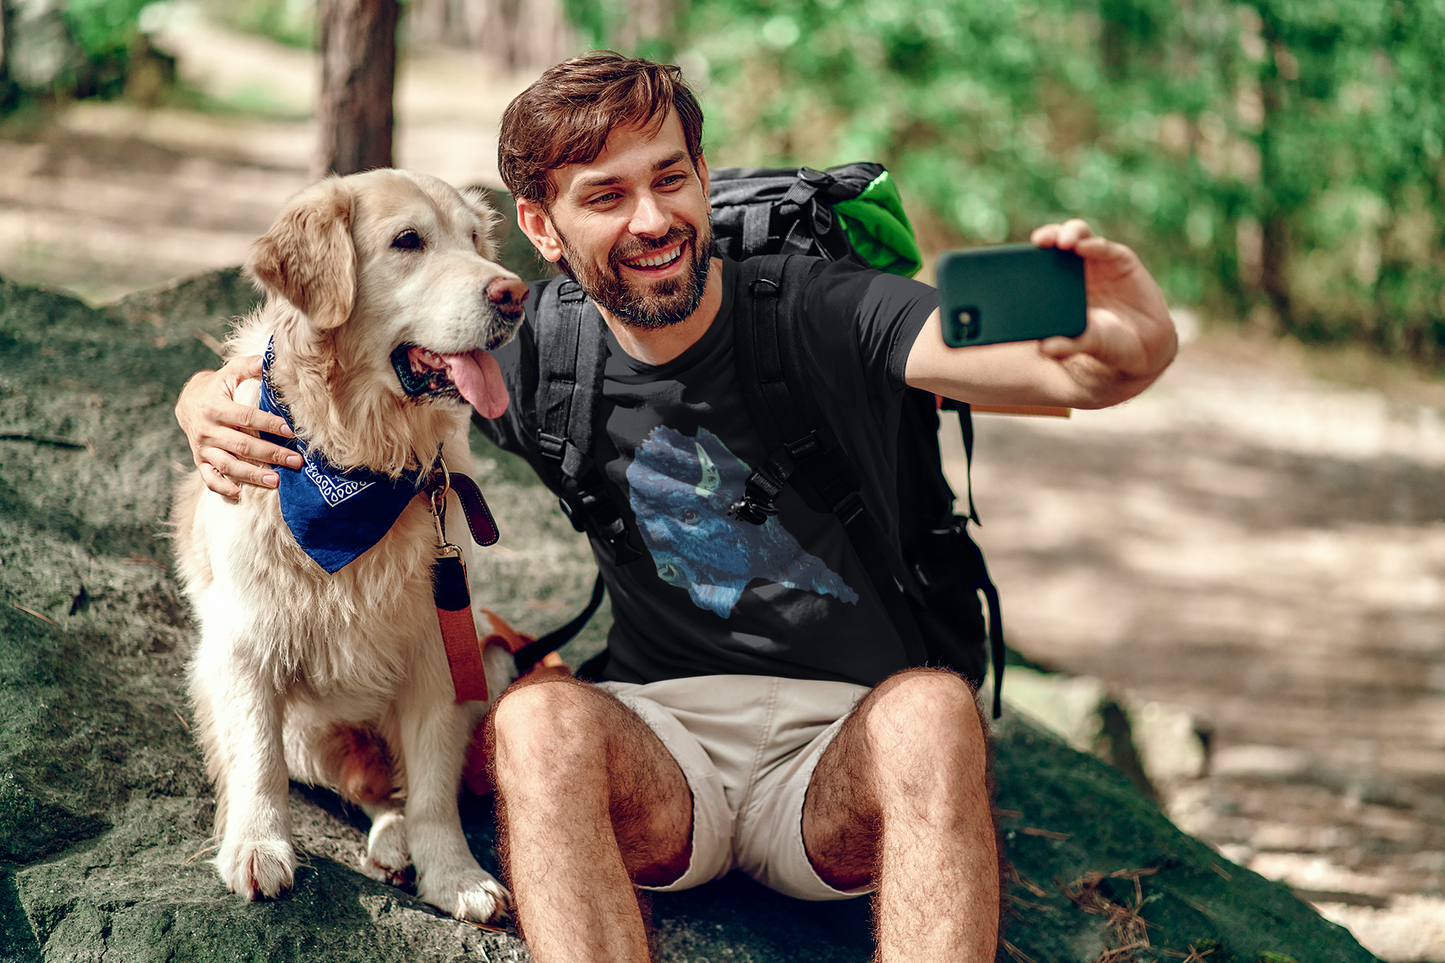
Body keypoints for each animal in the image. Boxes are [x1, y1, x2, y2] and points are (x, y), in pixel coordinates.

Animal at [171, 168, 528, 919]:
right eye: (408, 241)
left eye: (475, 239)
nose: (513, 292)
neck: (361, 460)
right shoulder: (243, 643)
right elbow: (256, 760)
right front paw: (256, 846)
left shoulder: (440, 650)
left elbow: (432, 789)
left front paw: (453, 874)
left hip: (490, 653)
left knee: (396, 788)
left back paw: (398, 843)